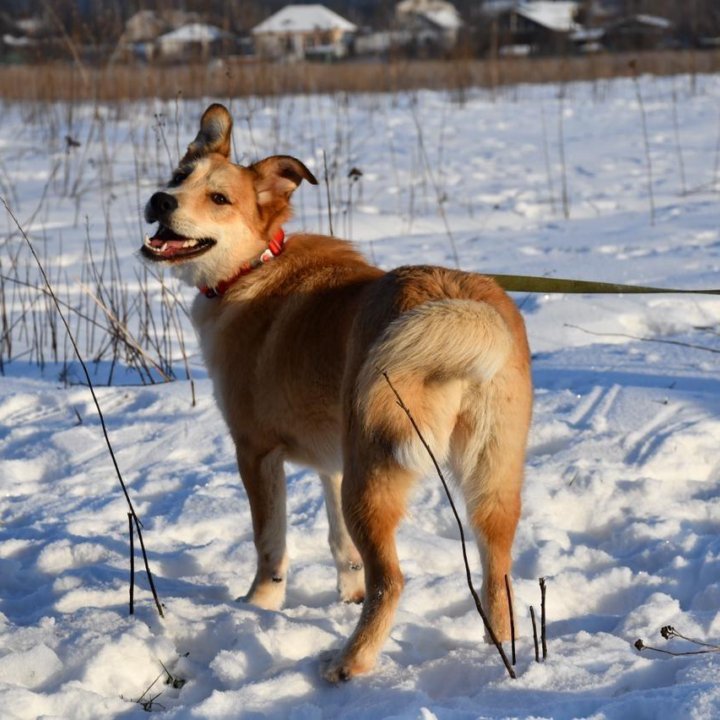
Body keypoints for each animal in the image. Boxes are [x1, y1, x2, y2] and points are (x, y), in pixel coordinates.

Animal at [142, 104, 536, 684]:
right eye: (178, 177)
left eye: (219, 199)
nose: (160, 200)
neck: (255, 265)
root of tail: (455, 301)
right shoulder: (334, 461)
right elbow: (338, 543)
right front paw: (346, 592)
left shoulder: (255, 452)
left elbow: (270, 543)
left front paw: (259, 605)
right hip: (489, 478)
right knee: (497, 573)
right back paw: (499, 651)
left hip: (372, 475)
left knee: (392, 580)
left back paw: (349, 661)